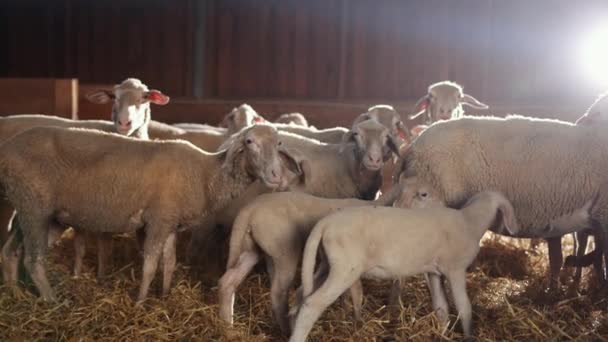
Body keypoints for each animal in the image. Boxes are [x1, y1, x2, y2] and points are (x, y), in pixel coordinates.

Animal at [0, 123, 300, 302]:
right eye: (249, 142)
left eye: (279, 144)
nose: (276, 176)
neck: (206, 175)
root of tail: (7, 148)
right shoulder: (157, 220)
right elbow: (150, 264)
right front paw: (141, 301)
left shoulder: (169, 221)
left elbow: (169, 262)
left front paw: (164, 295)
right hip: (34, 207)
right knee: (33, 260)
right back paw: (52, 301)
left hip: (34, 210)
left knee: (11, 251)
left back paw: (14, 292)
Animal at [290, 190, 516, 342]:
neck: (470, 222)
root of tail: (324, 224)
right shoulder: (455, 269)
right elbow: (464, 308)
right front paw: (469, 335)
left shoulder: (434, 272)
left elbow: (441, 308)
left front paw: (442, 334)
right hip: (344, 268)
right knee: (312, 304)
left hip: (327, 265)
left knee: (302, 295)